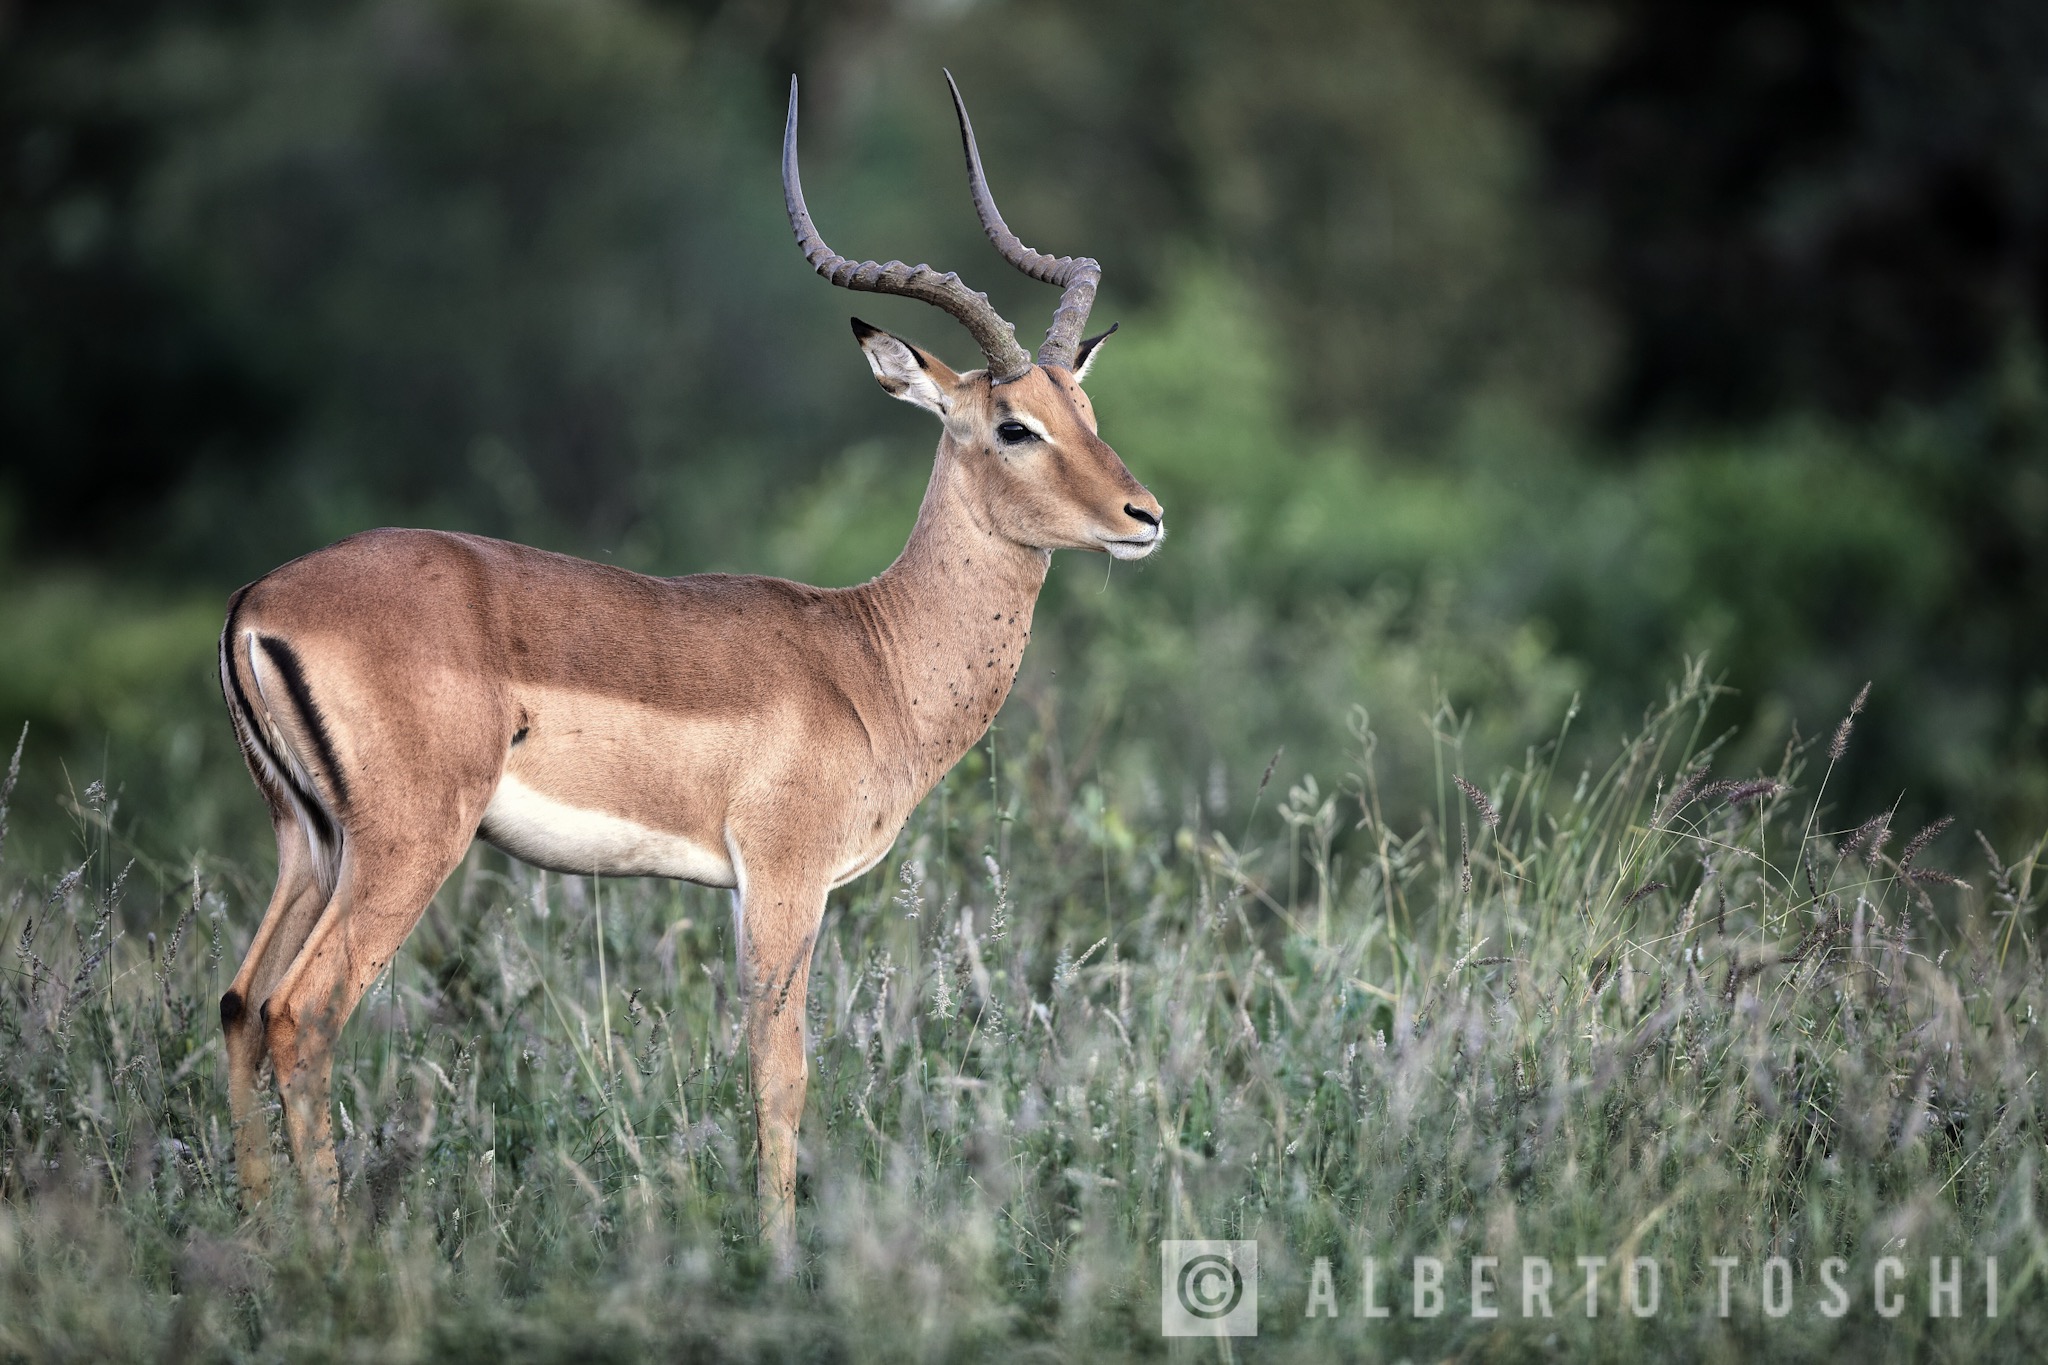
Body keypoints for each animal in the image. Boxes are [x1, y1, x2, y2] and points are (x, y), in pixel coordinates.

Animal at [214, 72, 1161, 1267]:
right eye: (1013, 425)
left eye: (1086, 412)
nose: (1144, 515)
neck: (870, 656)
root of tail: (257, 601)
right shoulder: (784, 879)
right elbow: (780, 1072)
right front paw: (782, 1257)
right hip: (405, 844)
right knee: (304, 1012)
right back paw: (332, 1257)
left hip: (308, 841)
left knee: (241, 1005)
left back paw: (254, 1244)